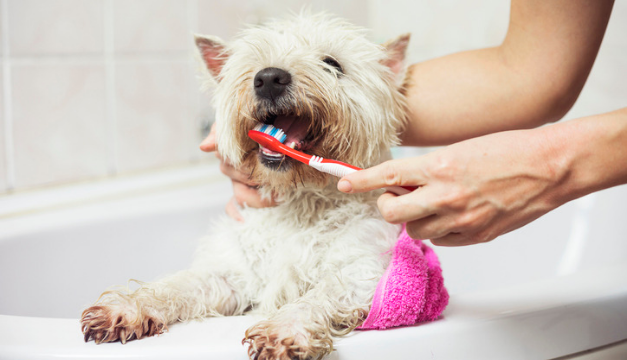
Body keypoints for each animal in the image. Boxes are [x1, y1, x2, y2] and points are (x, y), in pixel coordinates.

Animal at [79, 12, 412, 358]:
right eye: (254, 63)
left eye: (332, 63)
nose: (269, 78)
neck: (300, 201)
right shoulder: (232, 274)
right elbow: (178, 284)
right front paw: (127, 307)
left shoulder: (359, 272)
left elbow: (318, 296)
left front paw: (284, 329)